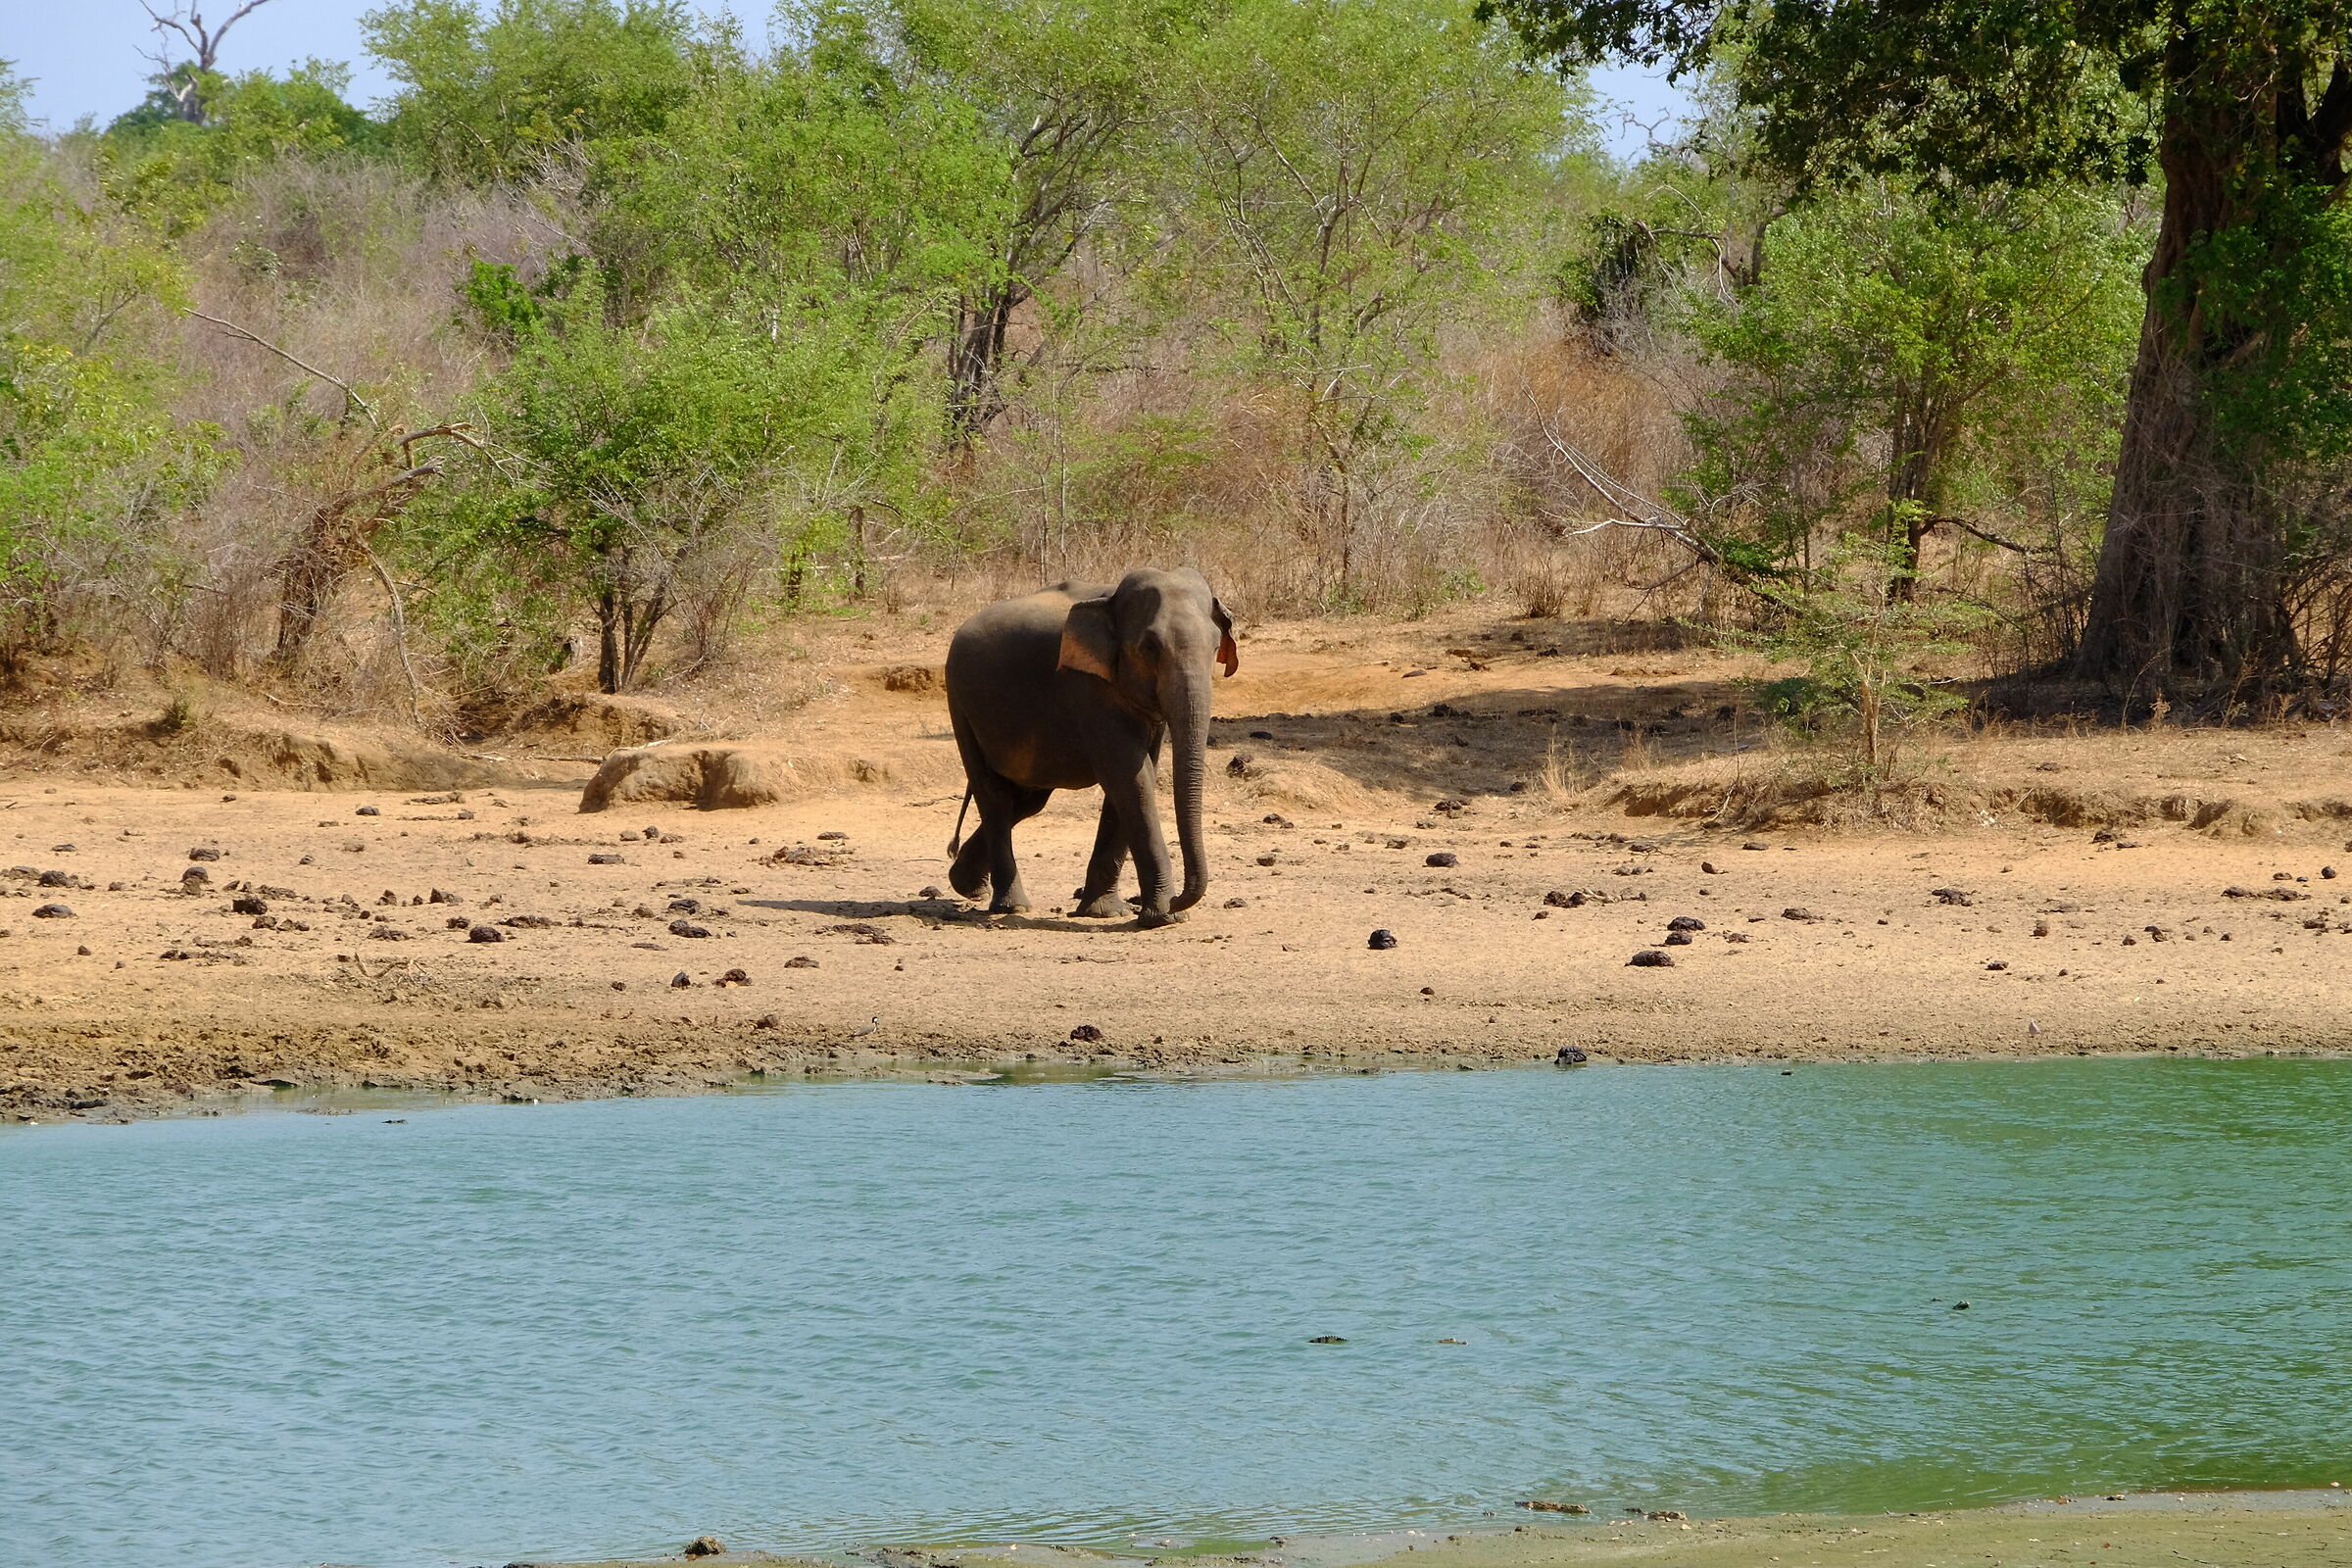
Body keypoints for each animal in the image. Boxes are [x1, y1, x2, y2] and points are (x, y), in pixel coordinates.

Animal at [943, 568, 1238, 927]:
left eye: (1215, 645)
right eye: (1150, 647)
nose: (1179, 900)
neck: (1112, 601)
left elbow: (1133, 778)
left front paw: (1105, 912)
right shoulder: (1088, 687)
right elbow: (1130, 777)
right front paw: (1163, 916)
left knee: (1027, 801)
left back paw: (967, 886)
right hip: (960, 702)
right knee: (993, 793)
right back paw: (1011, 907)